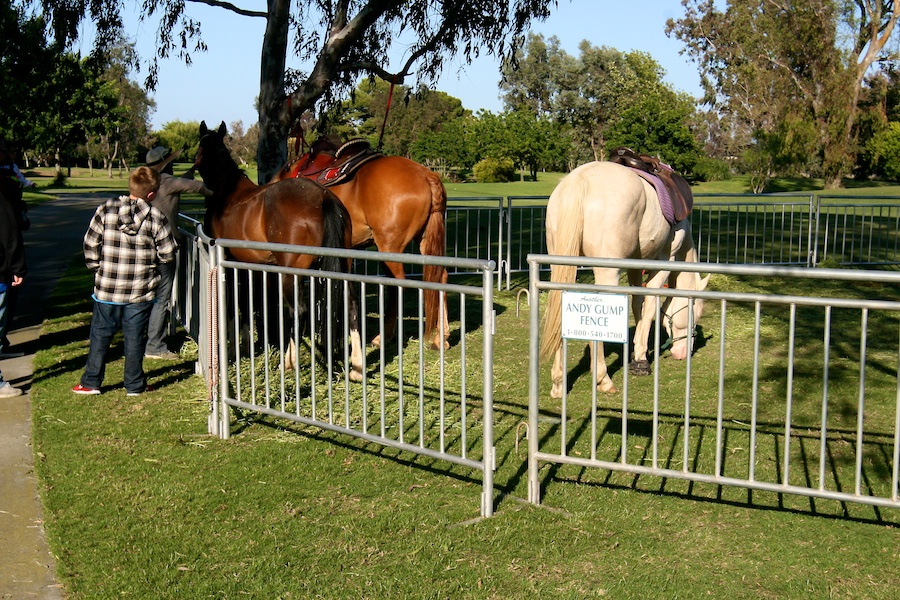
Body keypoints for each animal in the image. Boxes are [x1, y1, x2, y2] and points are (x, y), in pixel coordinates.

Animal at [199, 122, 364, 382]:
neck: (228, 192)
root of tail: (323, 197)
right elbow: (251, 302)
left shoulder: (230, 261)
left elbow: (237, 303)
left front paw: (236, 348)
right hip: (342, 270)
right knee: (352, 307)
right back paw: (357, 368)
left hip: (291, 274)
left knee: (298, 311)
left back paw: (288, 363)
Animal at [268, 138, 448, 350]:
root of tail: (427, 175)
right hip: (424, 240)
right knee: (440, 277)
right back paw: (441, 338)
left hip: (389, 246)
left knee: (397, 286)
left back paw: (384, 337)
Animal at [540, 159, 712, 398]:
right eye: (696, 312)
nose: (683, 352)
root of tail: (579, 181)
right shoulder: (664, 260)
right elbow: (650, 305)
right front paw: (640, 359)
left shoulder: (636, 265)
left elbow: (637, 303)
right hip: (607, 274)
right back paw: (603, 379)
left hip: (562, 267)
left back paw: (558, 383)